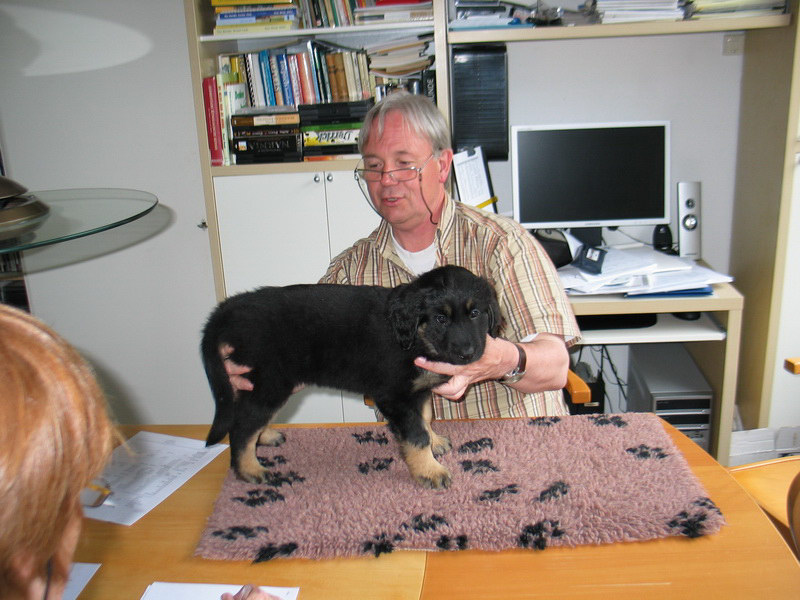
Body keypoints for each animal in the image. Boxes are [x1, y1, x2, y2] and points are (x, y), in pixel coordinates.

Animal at [201, 265, 501, 490]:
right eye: (440, 319)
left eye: (475, 313)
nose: (467, 354)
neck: (415, 337)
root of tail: (229, 308)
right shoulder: (393, 395)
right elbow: (416, 435)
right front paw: (429, 470)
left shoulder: (418, 390)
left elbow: (425, 417)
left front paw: (435, 441)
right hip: (270, 381)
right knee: (242, 426)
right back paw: (249, 469)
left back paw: (265, 437)